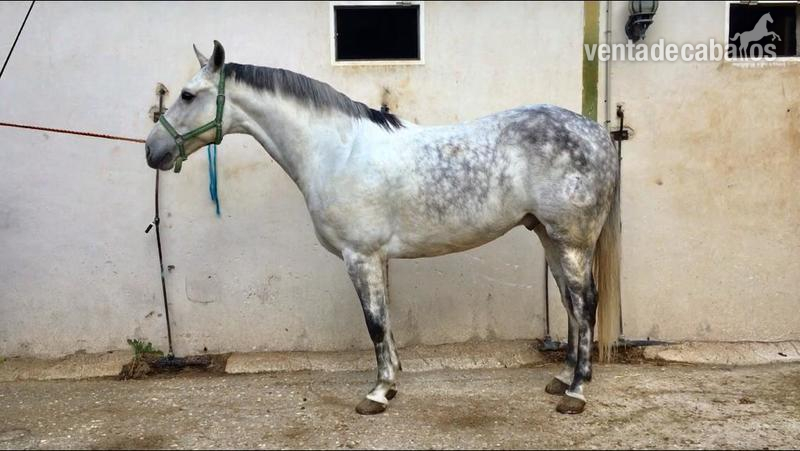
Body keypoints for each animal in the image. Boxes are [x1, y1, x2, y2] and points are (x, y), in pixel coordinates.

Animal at [145, 41, 621, 415]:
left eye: (188, 94)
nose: (153, 150)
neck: (336, 150)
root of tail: (596, 132)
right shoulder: (374, 259)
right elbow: (385, 320)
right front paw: (391, 383)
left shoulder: (361, 256)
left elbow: (374, 322)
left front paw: (377, 393)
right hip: (549, 237)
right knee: (571, 304)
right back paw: (562, 378)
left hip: (572, 242)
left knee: (585, 304)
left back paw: (576, 392)